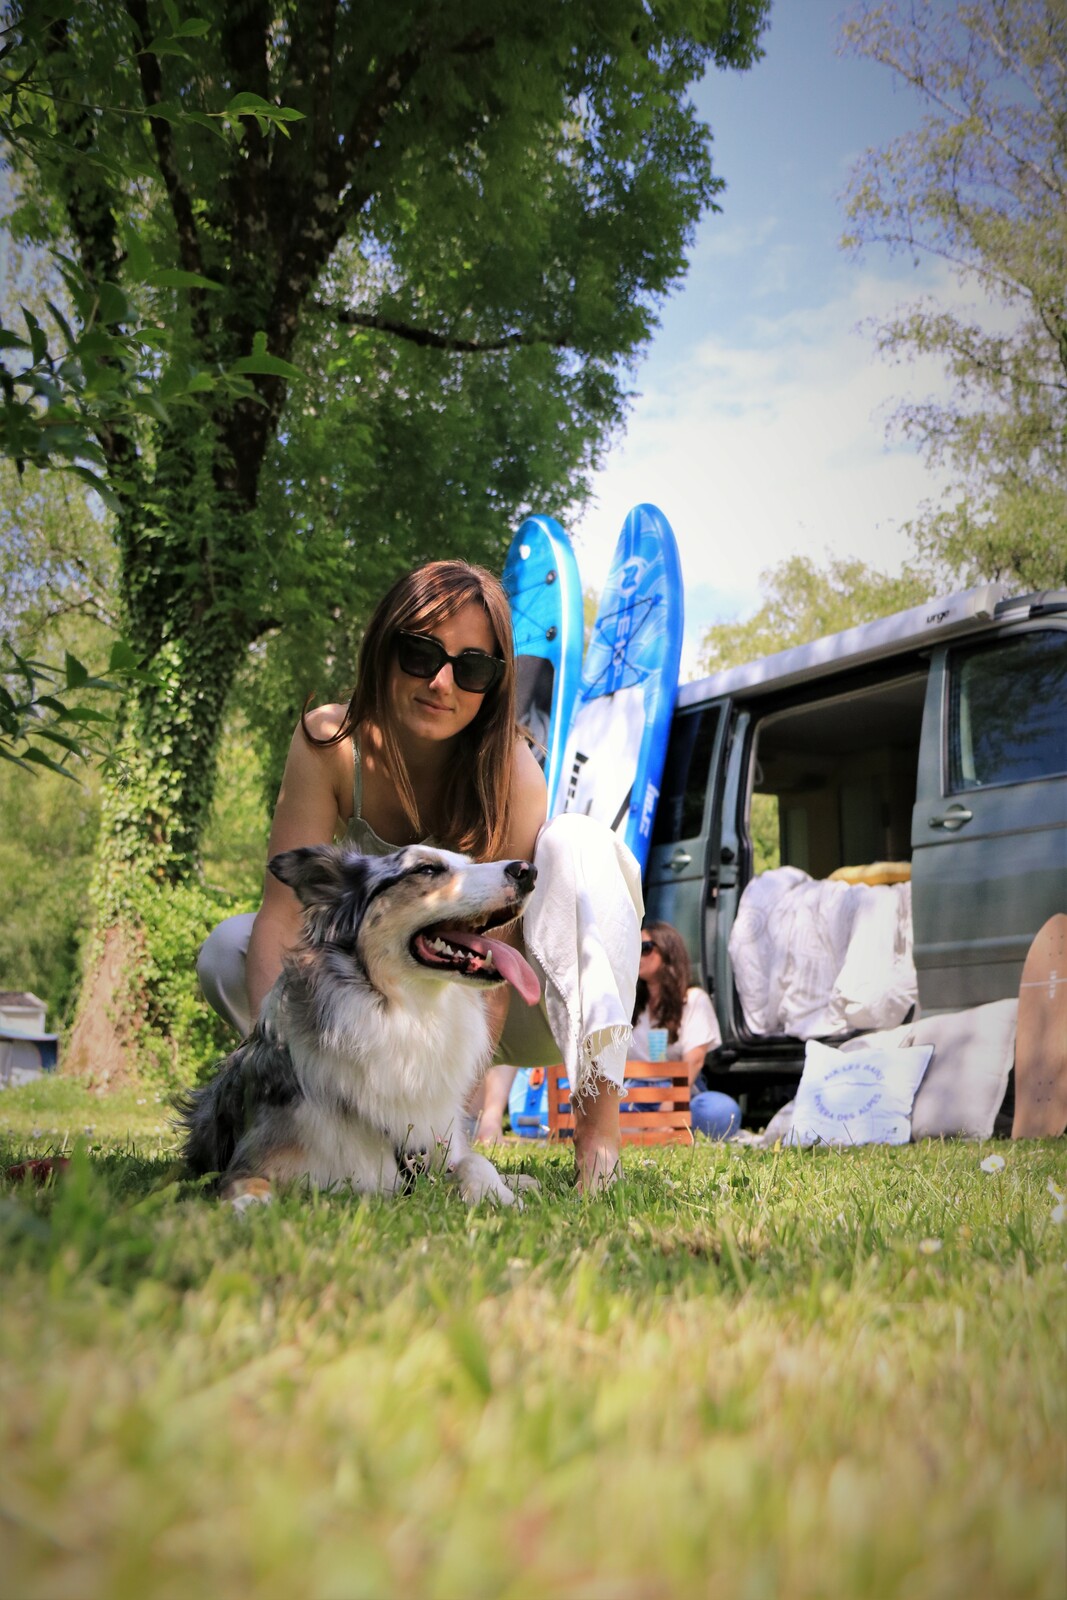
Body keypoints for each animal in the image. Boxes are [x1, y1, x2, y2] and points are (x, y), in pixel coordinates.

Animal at [179, 844, 543, 1203]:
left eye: (471, 862)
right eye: (426, 869)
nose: (528, 871)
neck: (411, 1015)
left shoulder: (440, 1143)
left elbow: (475, 1161)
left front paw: (500, 1196)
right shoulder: (252, 1161)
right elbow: (250, 1188)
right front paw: (248, 1208)